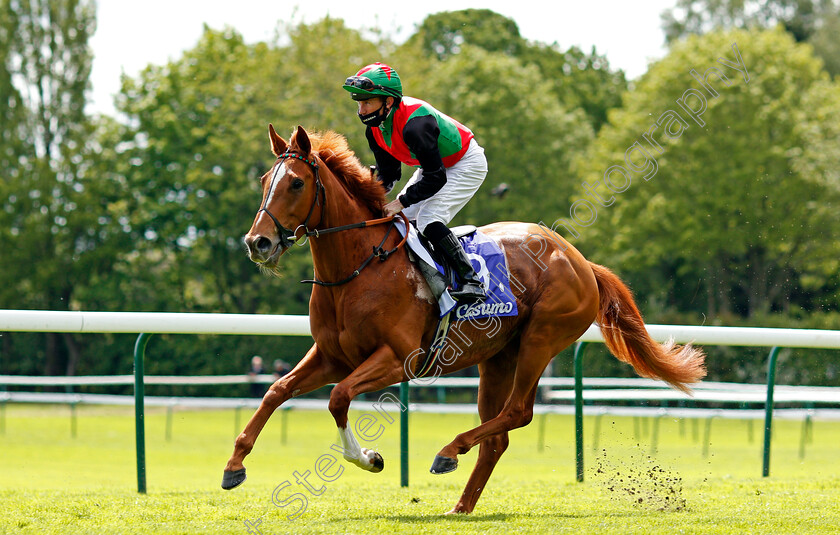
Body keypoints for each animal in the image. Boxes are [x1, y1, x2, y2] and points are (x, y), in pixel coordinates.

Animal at [223, 124, 708, 516]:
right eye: (265, 181)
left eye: (296, 183)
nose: (257, 242)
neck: (359, 267)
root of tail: (582, 261)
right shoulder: (332, 355)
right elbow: (276, 391)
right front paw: (234, 466)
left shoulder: (398, 358)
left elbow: (339, 398)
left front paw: (369, 458)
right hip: (497, 357)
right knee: (498, 436)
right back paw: (460, 504)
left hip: (541, 339)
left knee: (518, 412)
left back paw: (448, 451)